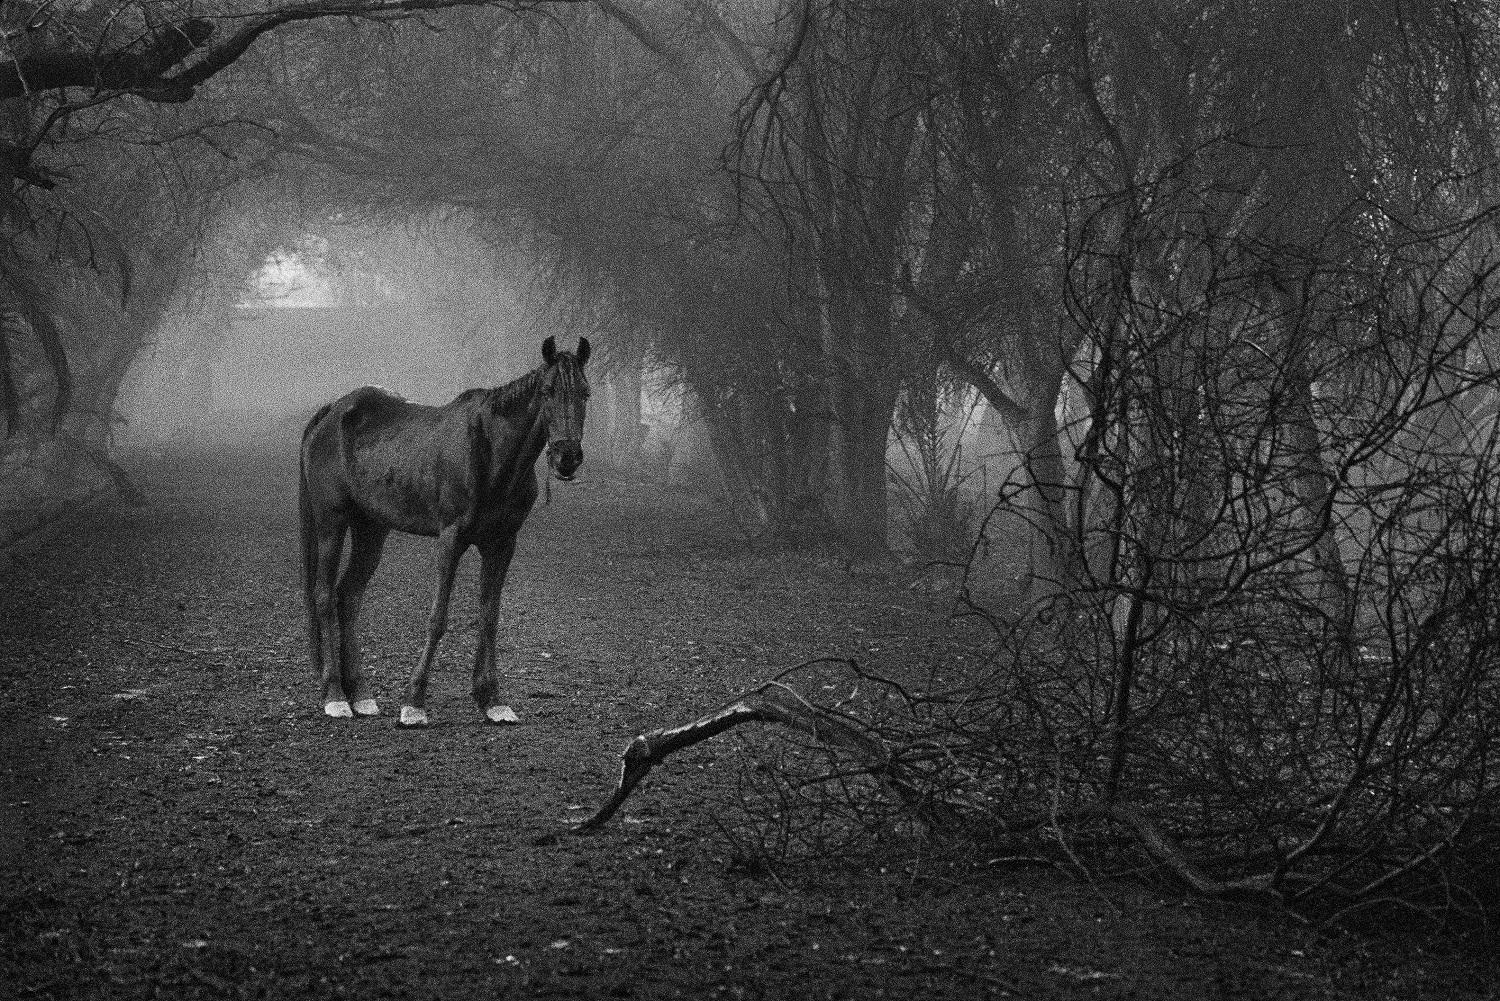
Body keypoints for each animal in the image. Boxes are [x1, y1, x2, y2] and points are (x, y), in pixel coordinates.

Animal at [298, 336, 591, 729]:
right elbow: (437, 619)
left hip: (371, 528)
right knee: (325, 597)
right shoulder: (451, 540)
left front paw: (492, 700)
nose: (567, 458)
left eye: (585, 393)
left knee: (349, 597)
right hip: (331, 521)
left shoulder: (502, 544)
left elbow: (490, 617)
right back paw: (335, 696)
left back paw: (359, 694)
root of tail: (332, 412)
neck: (491, 453)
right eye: (547, 392)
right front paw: (414, 703)